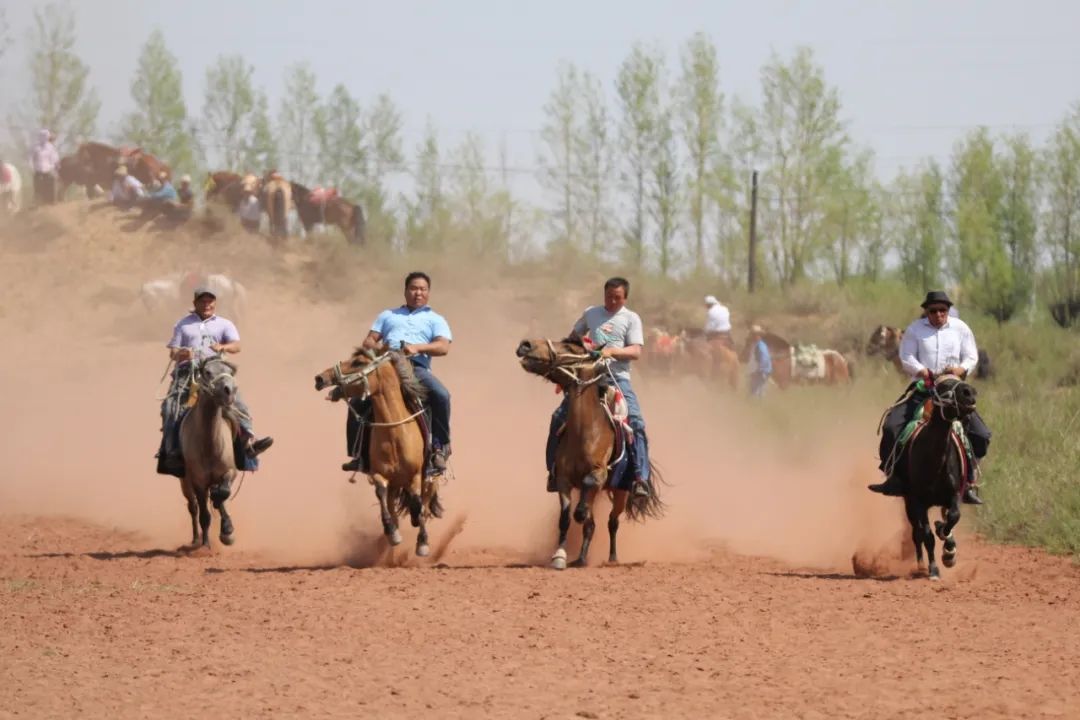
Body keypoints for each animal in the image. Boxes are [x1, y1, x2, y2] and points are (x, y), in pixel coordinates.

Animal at [178, 357, 242, 549]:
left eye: (230, 372)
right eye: (207, 372)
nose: (229, 390)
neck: (209, 446)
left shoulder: (229, 472)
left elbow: (223, 494)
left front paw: (227, 531)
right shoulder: (198, 482)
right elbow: (204, 515)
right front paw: (206, 545)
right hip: (185, 483)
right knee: (193, 508)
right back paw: (196, 539)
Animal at [314, 348, 437, 557]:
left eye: (358, 362)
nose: (320, 378)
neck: (395, 433)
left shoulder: (416, 474)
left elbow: (416, 502)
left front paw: (422, 542)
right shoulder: (379, 474)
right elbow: (381, 493)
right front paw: (392, 532)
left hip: (429, 478)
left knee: (426, 501)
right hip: (395, 484)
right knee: (392, 503)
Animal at [516, 338, 664, 569]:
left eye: (569, 347)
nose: (526, 344)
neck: (585, 432)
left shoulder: (598, 475)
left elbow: (583, 507)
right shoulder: (564, 480)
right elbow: (566, 518)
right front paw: (559, 556)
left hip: (621, 492)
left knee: (612, 522)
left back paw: (612, 558)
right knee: (593, 523)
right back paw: (581, 558)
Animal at [897, 374, 979, 580]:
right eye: (943, 386)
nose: (970, 393)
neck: (935, 459)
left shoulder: (954, 495)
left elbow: (953, 517)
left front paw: (948, 550)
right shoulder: (918, 501)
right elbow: (927, 535)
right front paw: (933, 569)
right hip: (908, 502)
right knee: (916, 532)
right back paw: (920, 565)